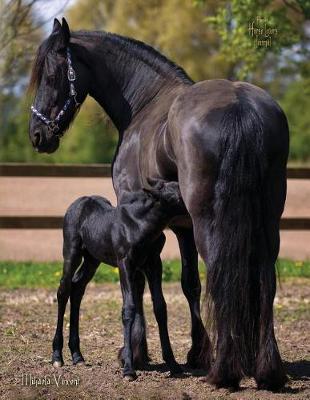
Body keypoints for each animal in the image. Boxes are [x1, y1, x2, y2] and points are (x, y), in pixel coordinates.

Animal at [52, 180, 185, 378]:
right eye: (176, 195)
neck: (141, 225)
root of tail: (78, 202)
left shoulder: (154, 263)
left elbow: (160, 307)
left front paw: (173, 363)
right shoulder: (125, 264)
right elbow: (128, 309)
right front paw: (129, 368)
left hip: (92, 259)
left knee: (77, 288)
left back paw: (77, 355)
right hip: (71, 252)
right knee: (64, 290)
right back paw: (57, 356)